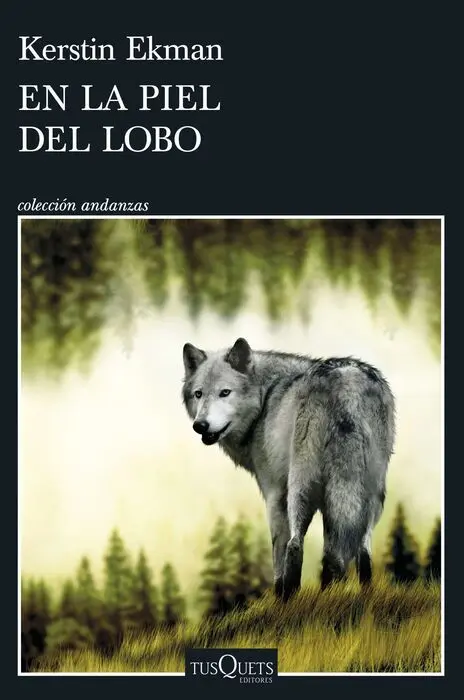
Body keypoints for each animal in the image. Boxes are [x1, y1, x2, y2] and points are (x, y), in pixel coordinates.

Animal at [182, 338, 395, 600]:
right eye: (198, 394)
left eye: (225, 392)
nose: (200, 425)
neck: (265, 399)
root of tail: (348, 385)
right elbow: (331, 547)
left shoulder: (274, 493)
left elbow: (278, 554)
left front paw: (280, 593)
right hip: (372, 492)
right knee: (361, 549)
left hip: (299, 488)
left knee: (296, 543)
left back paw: (288, 599)